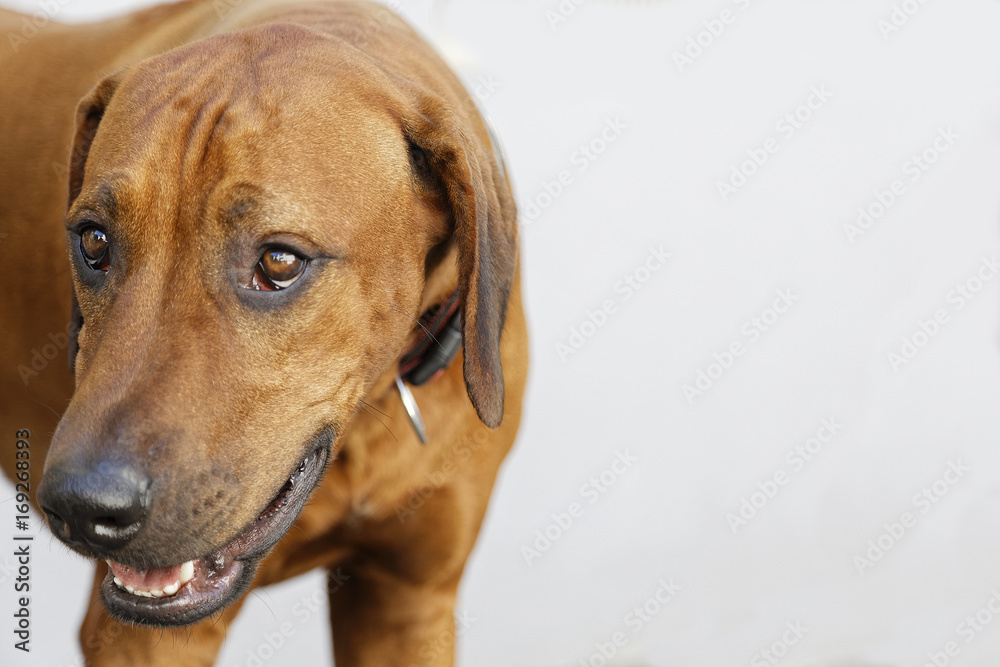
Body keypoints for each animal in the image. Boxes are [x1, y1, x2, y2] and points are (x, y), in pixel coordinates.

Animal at [0, 2, 528, 664]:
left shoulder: (409, 605)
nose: (80, 506)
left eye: (278, 262)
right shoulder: (142, 639)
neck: (363, 428)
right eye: (93, 242)